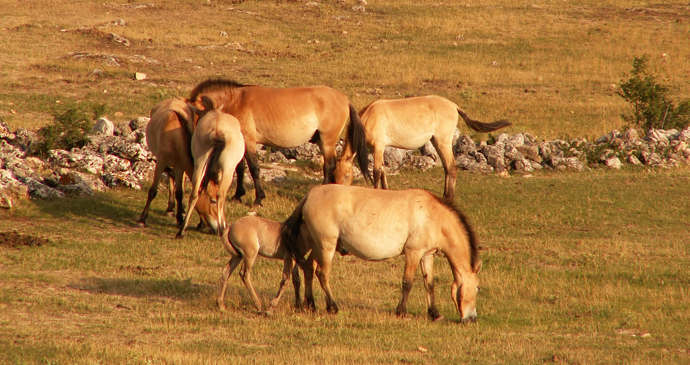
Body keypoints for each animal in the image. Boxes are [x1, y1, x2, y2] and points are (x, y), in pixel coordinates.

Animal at [176, 97, 246, 239]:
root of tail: (217, 130)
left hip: (200, 163)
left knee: (195, 192)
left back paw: (181, 230)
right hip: (228, 170)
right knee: (220, 194)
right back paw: (221, 230)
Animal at [188, 78, 370, 206]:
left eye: (198, 116)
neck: (236, 101)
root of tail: (344, 99)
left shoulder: (249, 141)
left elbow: (254, 169)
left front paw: (258, 199)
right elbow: (240, 168)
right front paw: (238, 195)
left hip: (327, 141)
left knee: (329, 166)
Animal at [278, 183, 478, 322]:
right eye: (478, 288)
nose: (472, 318)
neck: (432, 214)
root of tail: (310, 195)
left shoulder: (426, 255)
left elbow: (429, 284)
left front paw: (434, 314)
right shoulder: (413, 253)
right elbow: (407, 283)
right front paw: (401, 312)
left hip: (318, 245)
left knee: (309, 268)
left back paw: (311, 304)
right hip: (327, 245)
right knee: (322, 273)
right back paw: (332, 307)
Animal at [334, 95, 510, 199]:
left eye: (346, 176)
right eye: (334, 175)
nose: (337, 192)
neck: (369, 118)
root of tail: (454, 106)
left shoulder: (378, 147)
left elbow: (377, 172)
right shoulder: (377, 149)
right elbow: (383, 169)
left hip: (443, 141)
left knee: (452, 166)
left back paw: (448, 198)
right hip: (436, 141)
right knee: (447, 167)